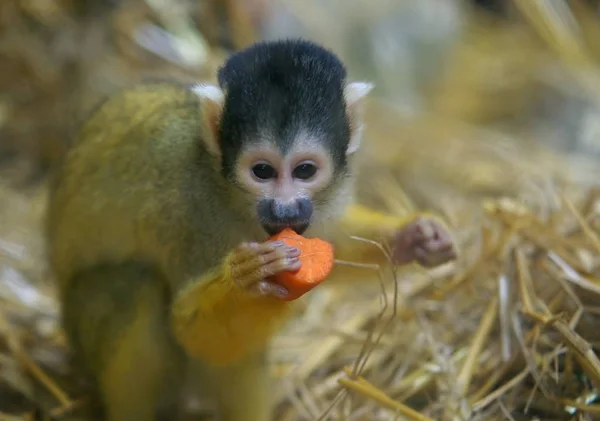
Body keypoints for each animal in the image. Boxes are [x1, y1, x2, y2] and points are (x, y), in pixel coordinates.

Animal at [47, 39, 458, 420]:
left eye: (305, 170)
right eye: (262, 171)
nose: (285, 208)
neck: (230, 194)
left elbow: (331, 240)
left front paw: (413, 236)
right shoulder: (191, 212)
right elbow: (191, 330)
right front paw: (247, 277)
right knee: (132, 284)